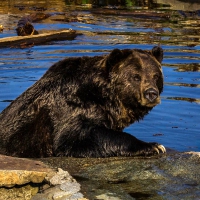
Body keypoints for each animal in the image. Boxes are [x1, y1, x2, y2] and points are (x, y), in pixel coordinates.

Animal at [0, 46, 166, 157]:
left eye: (156, 76)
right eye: (136, 76)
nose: (151, 93)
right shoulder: (69, 107)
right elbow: (76, 139)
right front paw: (154, 146)